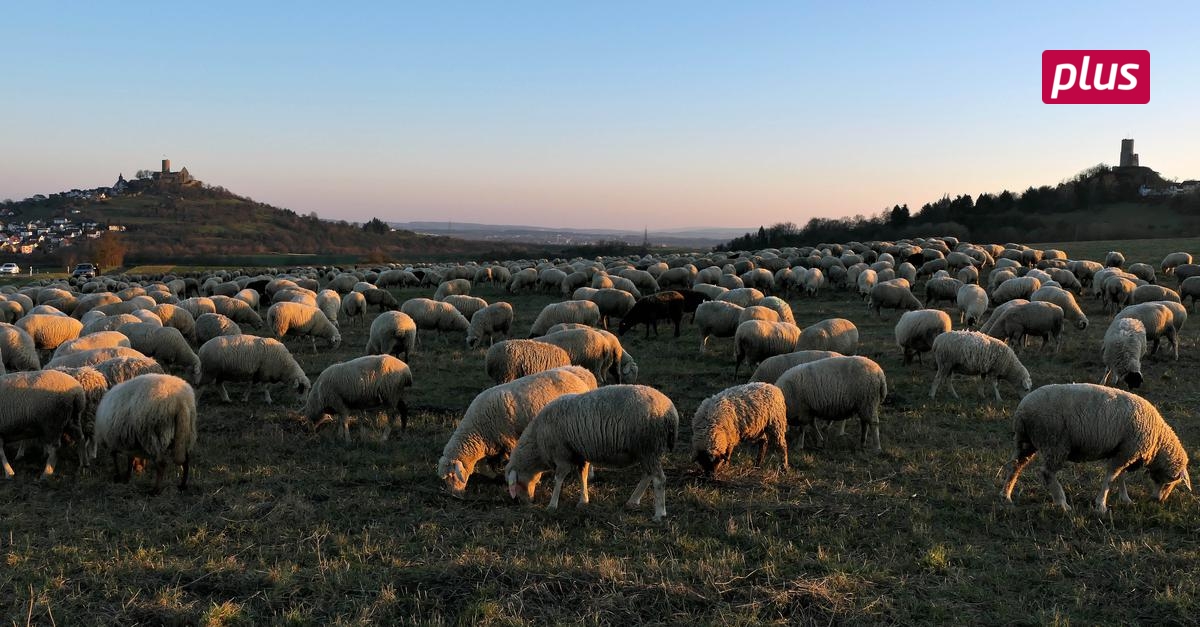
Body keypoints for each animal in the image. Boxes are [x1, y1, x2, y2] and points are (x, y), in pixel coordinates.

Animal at [436, 362, 600, 494]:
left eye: (451, 476)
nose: (454, 495)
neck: (477, 429)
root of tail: (578, 374)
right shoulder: (490, 443)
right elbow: (483, 464)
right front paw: (492, 475)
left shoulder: (508, 440)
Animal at [501, 381, 681, 518]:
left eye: (516, 484)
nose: (524, 503)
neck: (538, 441)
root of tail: (671, 413)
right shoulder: (579, 453)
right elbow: (582, 476)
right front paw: (583, 500)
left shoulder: (562, 455)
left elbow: (558, 480)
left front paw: (552, 505)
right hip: (647, 451)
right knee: (648, 475)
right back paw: (633, 500)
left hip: (648, 446)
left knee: (659, 479)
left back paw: (659, 513)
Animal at [998, 379, 1185, 511]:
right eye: (1170, 482)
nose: (1158, 501)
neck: (1158, 442)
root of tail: (1022, 410)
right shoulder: (1127, 451)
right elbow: (1110, 478)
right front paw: (1101, 505)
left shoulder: (1123, 451)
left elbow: (1120, 477)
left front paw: (1125, 499)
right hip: (1055, 442)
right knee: (1047, 472)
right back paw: (1062, 503)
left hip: (1025, 441)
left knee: (1015, 466)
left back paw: (1006, 495)